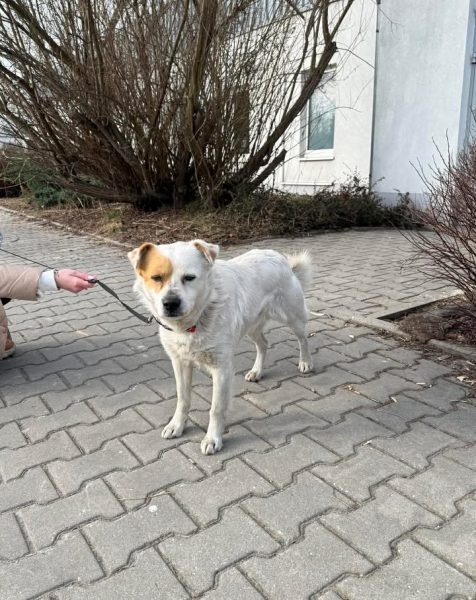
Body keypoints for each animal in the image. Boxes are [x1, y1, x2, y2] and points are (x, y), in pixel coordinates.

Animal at [129, 239, 313, 455]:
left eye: (189, 278)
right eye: (156, 278)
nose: (170, 303)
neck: (193, 323)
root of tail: (279, 258)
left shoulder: (222, 369)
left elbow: (216, 409)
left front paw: (212, 438)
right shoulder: (180, 363)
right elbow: (183, 398)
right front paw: (177, 425)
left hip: (293, 317)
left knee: (303, 338)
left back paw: (305, 362)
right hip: (251, 326)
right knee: (264, 344)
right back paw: (256, 371)